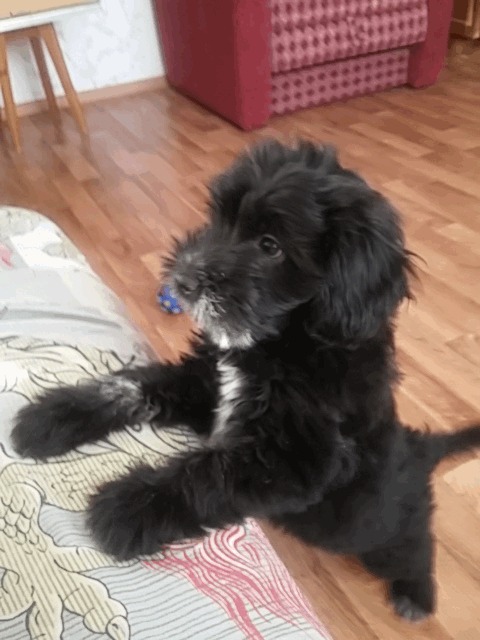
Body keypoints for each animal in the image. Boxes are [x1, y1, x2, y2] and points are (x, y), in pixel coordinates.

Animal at [12, 140, 480, 622]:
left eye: (270, 246)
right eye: (219, 218)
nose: (182, 280)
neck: (282, 341)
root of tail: (419, 447)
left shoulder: (293, 461)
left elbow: (207, 472)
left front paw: (127, 506)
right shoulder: (207, 388)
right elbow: (135, 384)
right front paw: (53, 416)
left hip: (381, 531)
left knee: (415, 546)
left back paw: (416, 594)